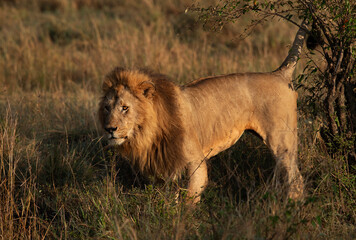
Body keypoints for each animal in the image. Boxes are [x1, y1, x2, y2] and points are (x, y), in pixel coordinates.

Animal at [98, 20, 308, 202]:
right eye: (107, 108)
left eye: (125, 108)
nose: (110, 129)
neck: (148, 133)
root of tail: (280, 73)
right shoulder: (165, 166)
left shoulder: (194, 160)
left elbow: (190, 197)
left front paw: (185, 219)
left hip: (282, 141)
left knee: (296, 178)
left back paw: (292, 206)